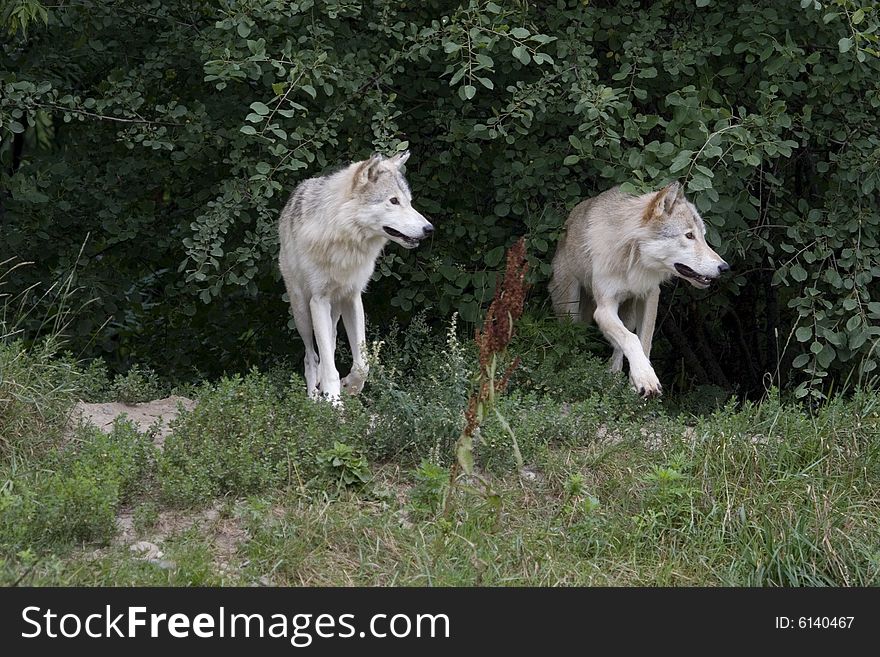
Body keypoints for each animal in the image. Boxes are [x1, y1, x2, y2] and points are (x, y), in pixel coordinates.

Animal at [278, 152, 434, 402]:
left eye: (409, 201)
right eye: (393, 201)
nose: (429, 229)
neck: (346, 241)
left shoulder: (352, 298)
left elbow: (363, 364)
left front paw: (350, 387)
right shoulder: (318, 301)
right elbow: (328, 366)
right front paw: (334, 403)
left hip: (334, 311)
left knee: (329, 347)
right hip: (302, 311)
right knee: (311, 356)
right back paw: (313, 397)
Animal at [552, 181, 728, 394]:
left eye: (703, 236)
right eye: (689, 235)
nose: (724, 267)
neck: (634, 260)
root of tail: (568, 222)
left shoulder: (650, 298)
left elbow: (643, 342)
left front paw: (642, 383)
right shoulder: (604, 309)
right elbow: (631, 340)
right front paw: (645, 377)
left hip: (629, 314)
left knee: (619, 349)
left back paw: (615, 381)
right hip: (570, 311)